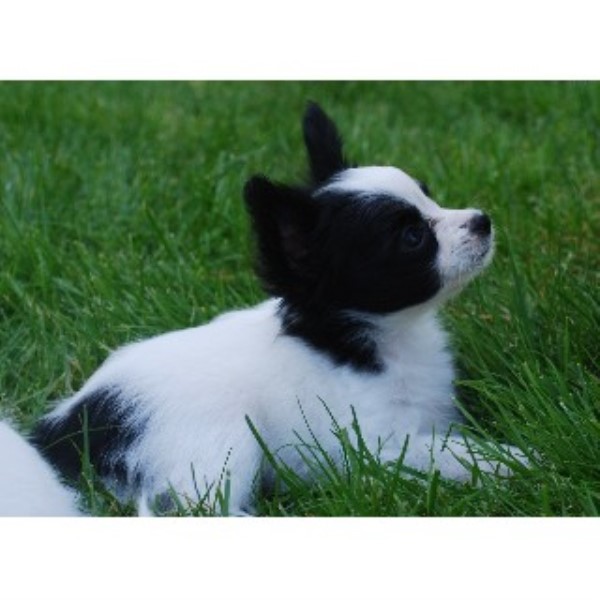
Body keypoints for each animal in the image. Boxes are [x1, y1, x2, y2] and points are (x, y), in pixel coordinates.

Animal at [31, 103, 520, 516]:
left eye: (430, 197)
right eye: (413, 238)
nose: (483, 221)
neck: (368, 341)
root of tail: (67, 428)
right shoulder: (377, 445)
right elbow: (447, 455)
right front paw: (515, 461)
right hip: (220, 444)